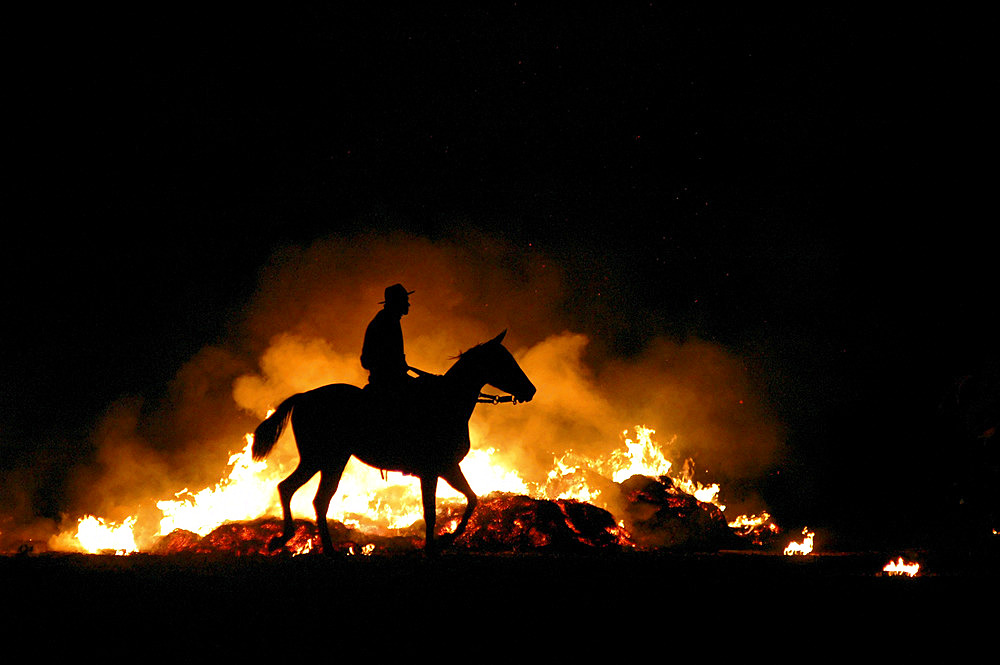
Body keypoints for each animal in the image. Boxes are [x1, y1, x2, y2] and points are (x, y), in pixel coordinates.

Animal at [249, 332, 536, 556]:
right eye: (504, 361)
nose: (530, 390)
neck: (446, 403)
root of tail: (303, 397)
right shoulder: (431, 471)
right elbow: (431, 511)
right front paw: (432, 547)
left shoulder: (448, 467)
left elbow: (471, 499)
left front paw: (446, 540)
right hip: (324, 459)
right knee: (305, 494)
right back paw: (310, 545)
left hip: (327, 460)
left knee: (304, 494)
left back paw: (304, 544)